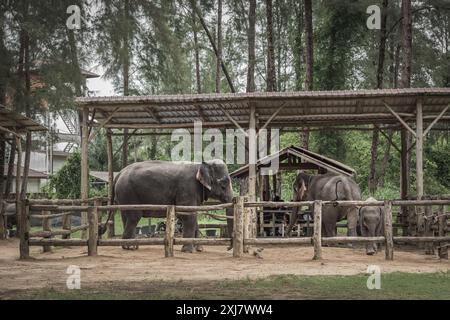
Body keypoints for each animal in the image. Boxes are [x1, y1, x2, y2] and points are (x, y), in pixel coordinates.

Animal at [102, 159, 234, 252]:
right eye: (223, 184)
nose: (228, 248)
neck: (199, 164)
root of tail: (119, 173)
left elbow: (193, 214)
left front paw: (200, 249)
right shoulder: (187, 188)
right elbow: (188, 215)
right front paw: (188, 251)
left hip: (124, 194)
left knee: (126, 216)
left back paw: (131, 246)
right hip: (128, 192)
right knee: (134, 216)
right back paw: (130, 247)